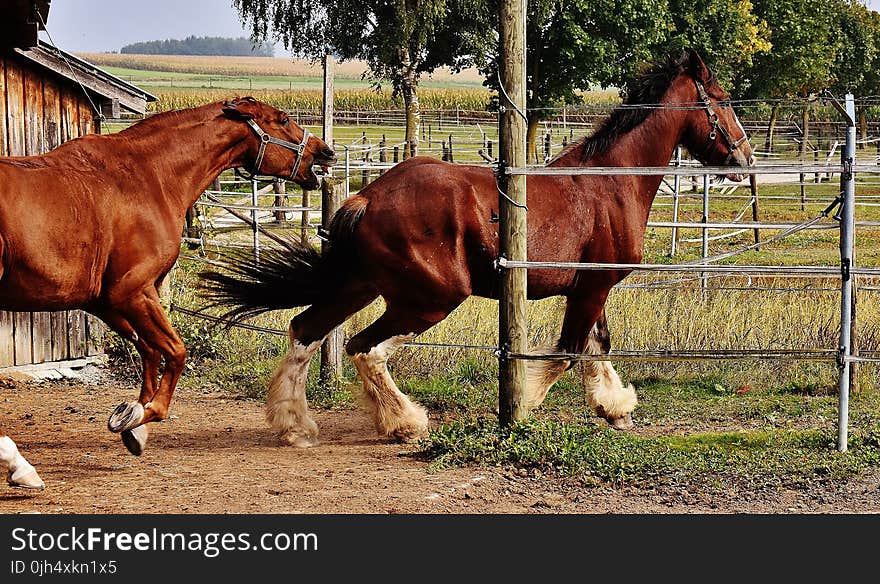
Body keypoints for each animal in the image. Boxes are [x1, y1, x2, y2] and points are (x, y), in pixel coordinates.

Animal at [0, 97, 336, 488]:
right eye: (282, 119)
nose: (325, 152)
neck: (148, 177)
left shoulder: (107, 301)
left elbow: (149, 351)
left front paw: (133, 423)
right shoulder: (132, 292)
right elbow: (175, 352)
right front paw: (143, 415)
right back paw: (21, 466)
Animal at [203, 51, 752, 448]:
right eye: (723, 100)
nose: (745, 158)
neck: (608, 183)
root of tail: (368, 195)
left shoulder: (589, 288)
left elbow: (597, 346)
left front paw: (614, 408)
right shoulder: (593, 287)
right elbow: (567, 352)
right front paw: (524, 408)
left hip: (361, 286)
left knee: (305, 330)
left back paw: (294, 426)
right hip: (431, 297)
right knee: (365, 348)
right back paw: (404, 423)